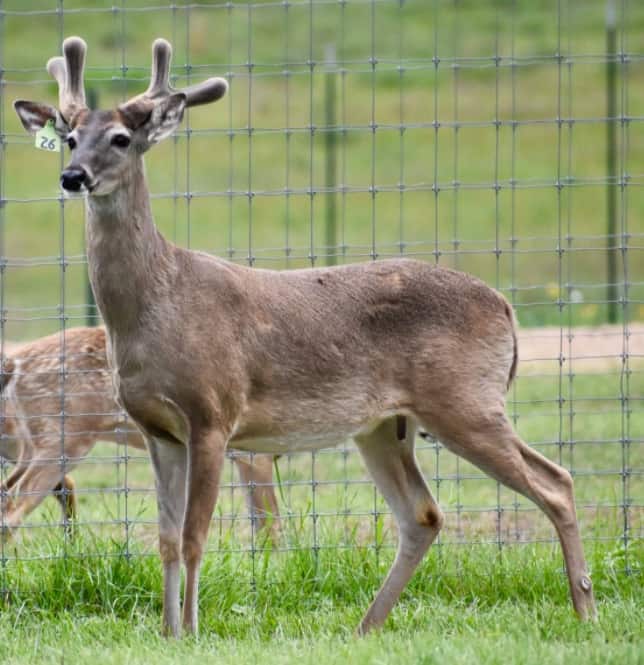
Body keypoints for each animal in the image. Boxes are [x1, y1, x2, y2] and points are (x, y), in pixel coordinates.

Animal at [0, 327, 279, 538]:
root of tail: (15, 365)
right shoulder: (255, 454)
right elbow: (270, 527)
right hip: (63, 441)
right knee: (14, 505)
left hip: (29, 447)